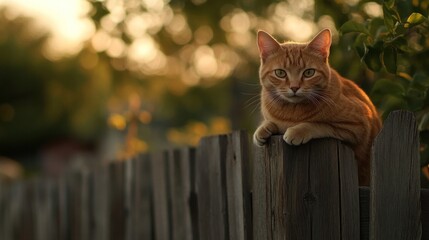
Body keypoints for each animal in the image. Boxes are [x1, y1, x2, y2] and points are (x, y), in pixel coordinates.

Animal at [252, 28, 380, 186]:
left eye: (309, 72)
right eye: (280, 73)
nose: (294, 87)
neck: (291, 113)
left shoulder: (358, 126)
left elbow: (320, 124)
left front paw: (297, 131)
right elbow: (270, 121)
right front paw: (262, 129)